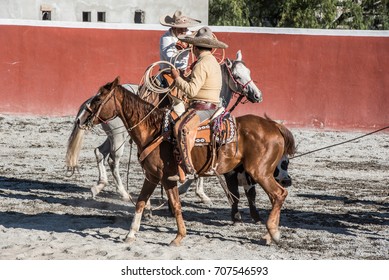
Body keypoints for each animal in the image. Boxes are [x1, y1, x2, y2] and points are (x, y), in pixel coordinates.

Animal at [76, 76, 294, 245]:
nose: (80, 119)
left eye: (98, 98)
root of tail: (274, 126)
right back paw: (270, 234)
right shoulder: (152, 176)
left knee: (279, 194)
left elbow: (176, 205)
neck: (154, 130)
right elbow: (140, 202)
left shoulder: (166, 177)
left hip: (260, 172)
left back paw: (273, 233)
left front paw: (178, 236)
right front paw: (131, 234)